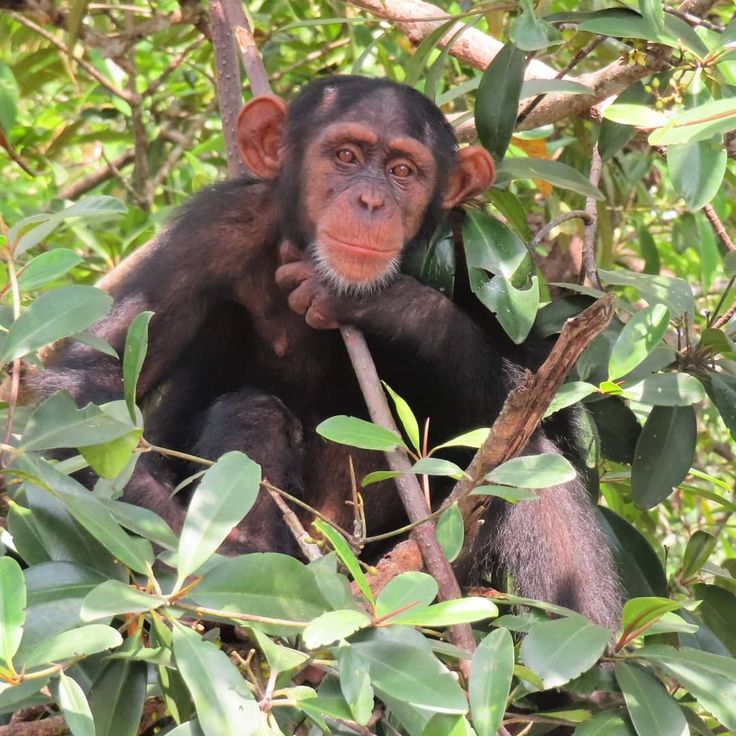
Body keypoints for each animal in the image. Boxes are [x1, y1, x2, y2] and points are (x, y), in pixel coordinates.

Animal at [33, 75, 621, 628]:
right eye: (346, 157)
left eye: (403, 171)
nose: (371, 201)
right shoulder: (212, 232)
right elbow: (85, 388)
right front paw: (210, 564)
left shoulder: (475, 254)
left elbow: (549, 394)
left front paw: (391, 306)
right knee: (253, 411)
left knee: (528, 453)